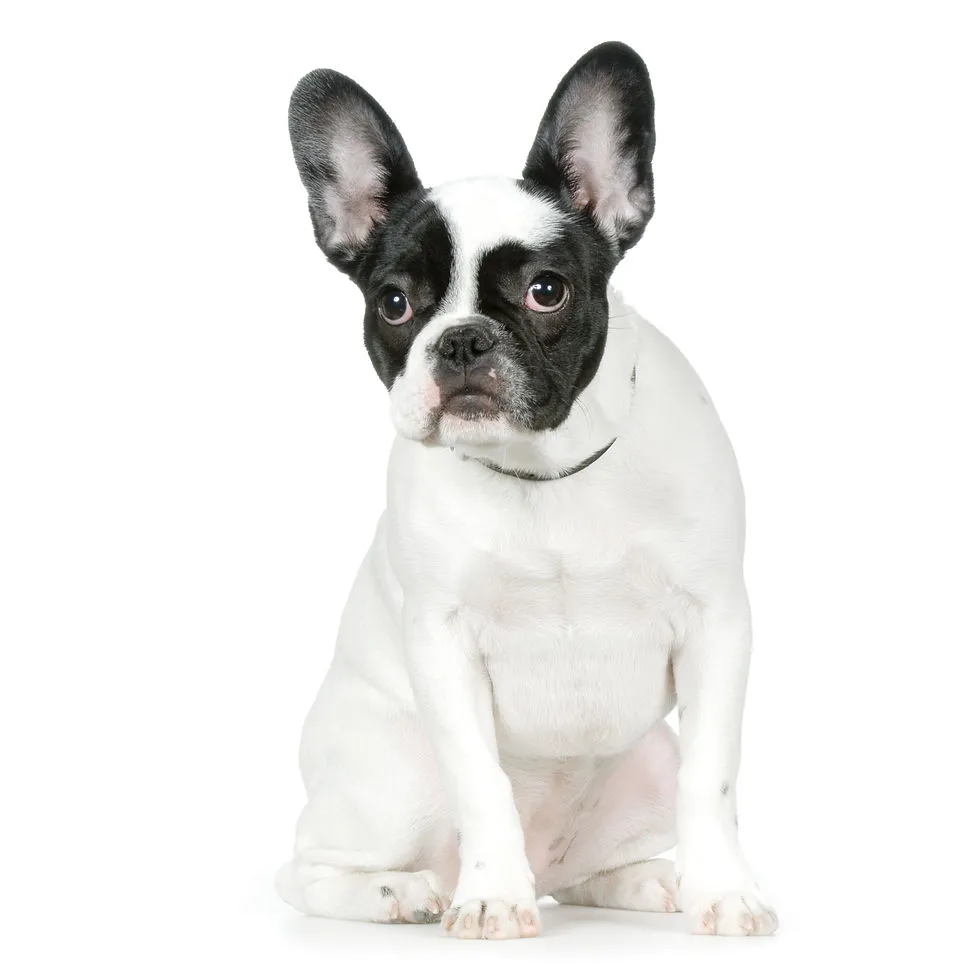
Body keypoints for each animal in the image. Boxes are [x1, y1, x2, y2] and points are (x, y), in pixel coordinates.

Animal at [276, 41, 778, 940]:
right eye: (394, 303)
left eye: (547, 291)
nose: (462, 341)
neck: (545, 470)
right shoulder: (443, 645)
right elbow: (482, 783)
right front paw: (490, 898)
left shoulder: (717, 622)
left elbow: (714, 778)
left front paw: (722, 890)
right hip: (390, 782)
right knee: (303, 871)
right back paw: (399, 893)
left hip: (648, 762)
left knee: (587, 874)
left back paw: (651, 881)